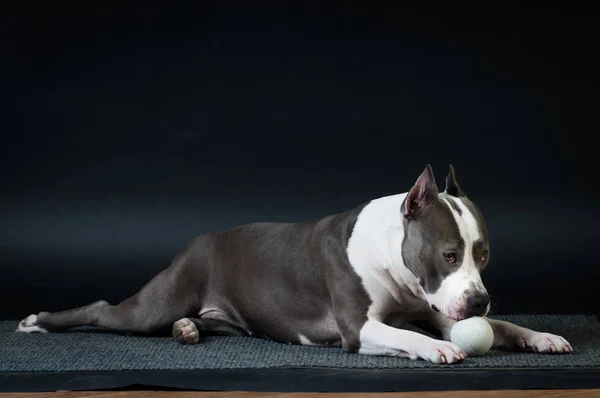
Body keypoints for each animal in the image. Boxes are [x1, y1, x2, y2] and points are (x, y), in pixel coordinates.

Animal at [16, 165, 576, 364]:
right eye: (449, 255)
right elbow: (406, 335)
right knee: (104, 308)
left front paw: (542, 336)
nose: (479, 299)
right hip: (155, 303)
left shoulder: (435, 306)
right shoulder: (359, 328)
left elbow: (504, 327)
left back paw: (189, 330)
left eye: (484, 255)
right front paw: (436, 348)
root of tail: (196, 241)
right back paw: (37, 320)